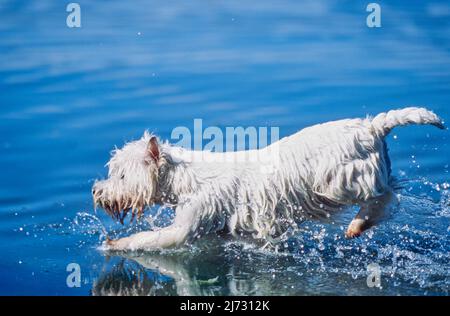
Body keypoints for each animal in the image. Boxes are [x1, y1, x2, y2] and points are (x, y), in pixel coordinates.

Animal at [93, 107, 444, 251]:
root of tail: (372, 127)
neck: (185, 179)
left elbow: (151, 240)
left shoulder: (187, 226)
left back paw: (357, 224)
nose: (97, 191)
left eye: (122, 174)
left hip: (340, 181)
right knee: (391, 193)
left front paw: (112, 245)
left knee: (385, 196)